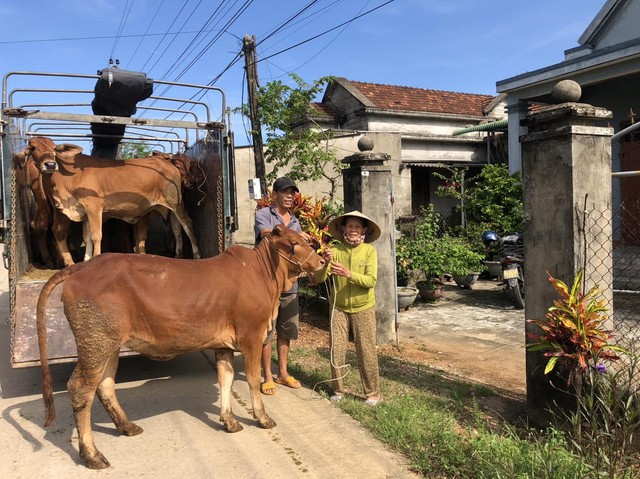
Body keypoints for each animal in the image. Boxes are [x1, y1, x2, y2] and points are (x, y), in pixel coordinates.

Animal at [24, 137, 200, 268]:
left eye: (54, 149)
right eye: (33, 148)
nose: (50, 164)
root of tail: (168, 163)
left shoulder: (94, 207)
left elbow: (96, 236)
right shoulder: (84, 212)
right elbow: (86, 237)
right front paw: (86, 261)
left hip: (176, 202)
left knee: (187, 223)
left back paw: (197, 255)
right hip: (169, 207)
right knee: (177, 228)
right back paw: (178, 255)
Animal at [36, 225, 324, 468]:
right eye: (295, 243)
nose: (322, 261)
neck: (263, 274)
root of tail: (83, 267)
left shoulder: (224, 345)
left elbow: (226, 379)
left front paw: (229, 421)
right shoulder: (251, 337)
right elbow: (252, 380)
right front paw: (262, 418)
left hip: (109, 344)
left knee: (104, 385)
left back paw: (127, 427)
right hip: (95, 341)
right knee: (81, 389)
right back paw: (92, 455)